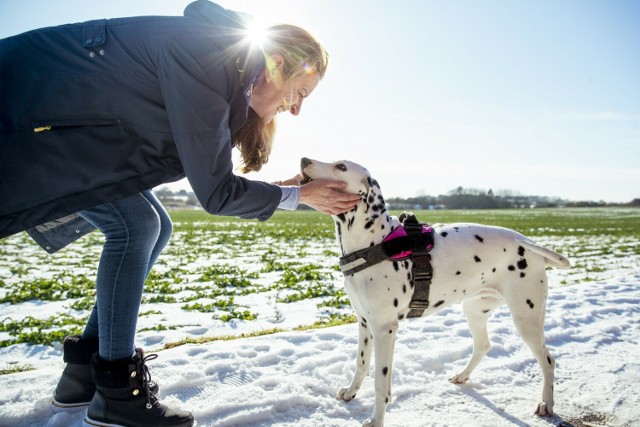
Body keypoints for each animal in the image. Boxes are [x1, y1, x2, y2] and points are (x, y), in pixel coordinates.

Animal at [300, 158, 568, 427]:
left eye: (341, 166)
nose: (304, 160)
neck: (374, 241)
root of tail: (527, 243)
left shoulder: (384, 329)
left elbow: (380, 382)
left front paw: (376, 420)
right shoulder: (365, 323)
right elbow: (362, 364)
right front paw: (351, 392)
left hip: (526, 318)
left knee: (548, 361)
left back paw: (546, 403)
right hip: (475, 310)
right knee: (483, 345)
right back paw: (462, 376)